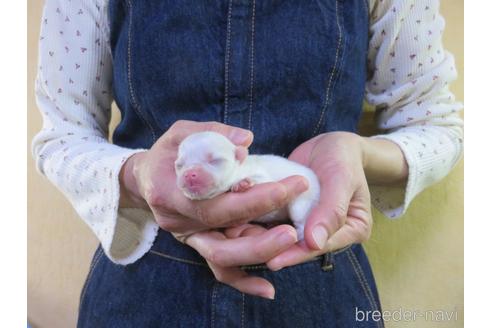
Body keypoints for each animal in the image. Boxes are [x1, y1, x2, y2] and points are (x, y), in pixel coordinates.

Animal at [175, 131, 320, 241]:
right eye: (179, 165)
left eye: (215, 161)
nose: (189, 174)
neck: (240, 167)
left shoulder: (261, 174)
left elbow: (262, 179)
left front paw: (242, 183)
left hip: (305, 200)